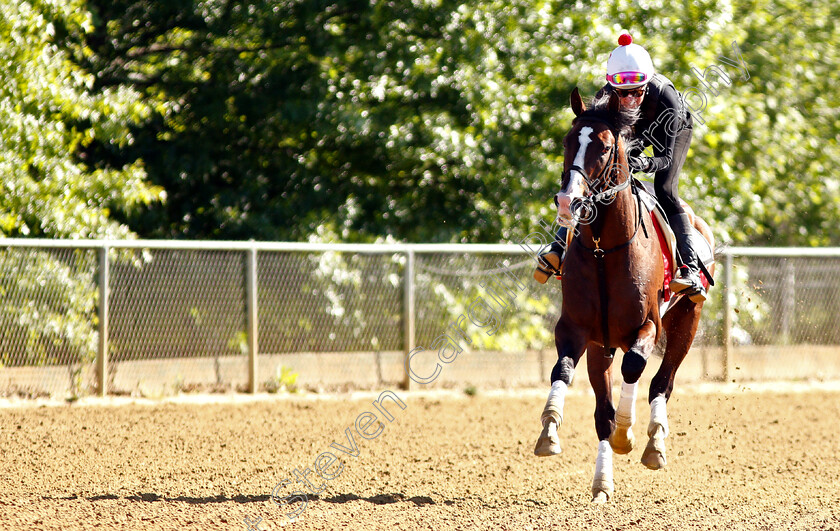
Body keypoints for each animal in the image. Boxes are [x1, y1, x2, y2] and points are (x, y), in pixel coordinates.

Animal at [536, 87, 712, 502]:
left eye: (602, 147)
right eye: (567, 141)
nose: (568, 202)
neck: (604, 250)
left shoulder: (648, 325)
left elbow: (634, 367)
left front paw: (626, 434)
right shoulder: (577, 330)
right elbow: (563, 372)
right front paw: (549, 431)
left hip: (687, 322)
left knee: (662, 383)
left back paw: (654, 445)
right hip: (602, 346)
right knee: (604, 408)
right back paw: (602, 484)